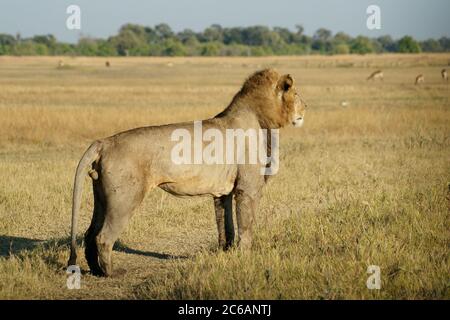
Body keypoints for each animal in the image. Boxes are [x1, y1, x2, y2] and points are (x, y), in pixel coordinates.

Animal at [68, 69, 310, 276]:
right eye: (296, 93)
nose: (306, 106)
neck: (262, 119)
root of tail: (104, 142)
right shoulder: (247, 189)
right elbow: (246, 226)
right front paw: (246, 258)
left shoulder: (222, 192)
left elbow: (225, 226)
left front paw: (225, 253)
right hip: (124, 199)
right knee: (103, 237)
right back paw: (111, 273)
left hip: (101, 197)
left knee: (89, 234)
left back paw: (96, 271)